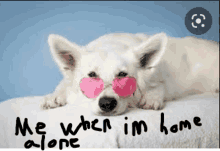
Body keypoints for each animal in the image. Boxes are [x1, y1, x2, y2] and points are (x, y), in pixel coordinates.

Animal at [40, 32, 219, 115]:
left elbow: (159, 86)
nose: (107, 104)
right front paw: (54, 96)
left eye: (122, 75)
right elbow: (63, 84)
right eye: (92, 75)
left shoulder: (166, 80)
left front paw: (151, 98)